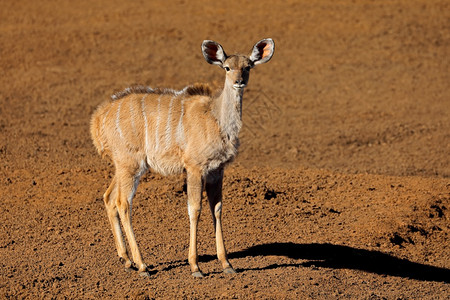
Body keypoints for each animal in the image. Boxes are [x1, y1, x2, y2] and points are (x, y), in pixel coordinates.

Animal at [89, 38, 274, 278]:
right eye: (227, 67)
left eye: (248, 66)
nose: (239, 82)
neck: (215, 118)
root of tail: (98, 118)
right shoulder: (194, 167)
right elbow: (194, 209)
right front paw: (195, 267)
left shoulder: (217, 170)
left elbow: (217, 209)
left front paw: (227, 264)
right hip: (130, 165)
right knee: (123, 202)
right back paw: (142, 266)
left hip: (124, 166)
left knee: (109, 197)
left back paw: (126, 260)